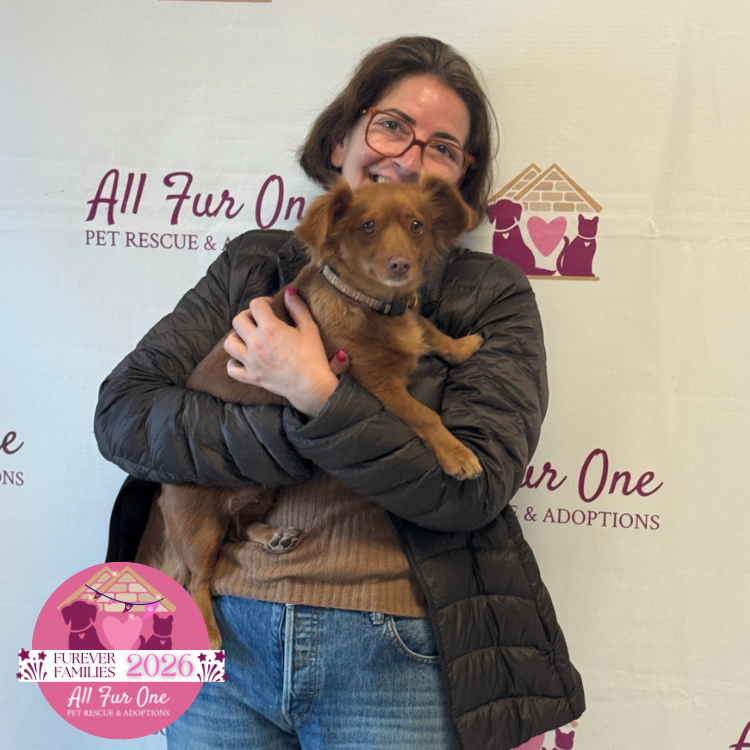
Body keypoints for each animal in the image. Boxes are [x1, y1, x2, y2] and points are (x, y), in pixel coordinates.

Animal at [138, 175, 484, 649]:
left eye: (417, 225)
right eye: (368, 227)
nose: (401, 266)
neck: (376, 305)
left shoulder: (409, 326)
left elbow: (431, 330)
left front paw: (462, 346)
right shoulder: (376, 383)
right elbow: (424, 415)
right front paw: (456, 455)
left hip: (263, 488)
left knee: (239, 529)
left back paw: (273, 535)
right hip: (199, 526)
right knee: (197, 581)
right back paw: (208, 634)